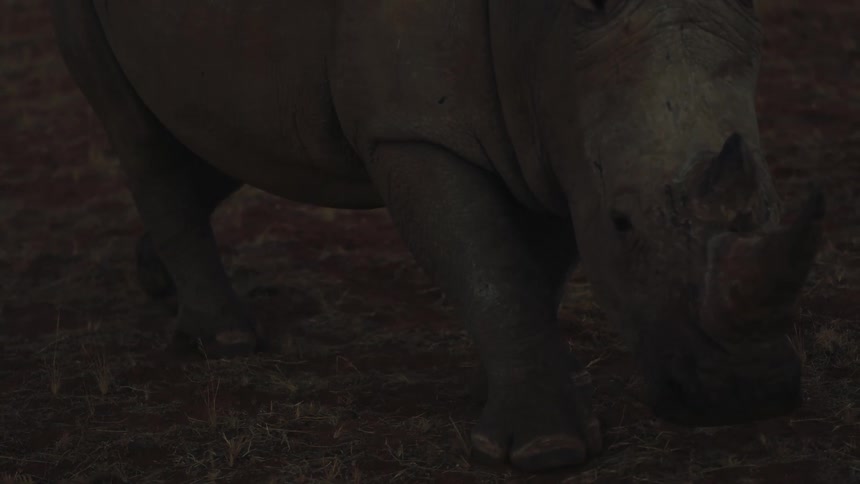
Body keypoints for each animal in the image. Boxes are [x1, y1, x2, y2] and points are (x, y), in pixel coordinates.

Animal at [51, 0, 823, 471]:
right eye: (622, 222)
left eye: (774, 202)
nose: (746, 395)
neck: (548, 31)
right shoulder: (415, 128)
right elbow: (490, 265)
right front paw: (545, 449)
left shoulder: (549, 128)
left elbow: (531, 267)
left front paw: (494, 391)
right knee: (139, 133)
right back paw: (227, 341)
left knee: (217, 135)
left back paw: (159, 282)